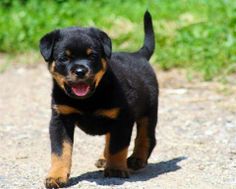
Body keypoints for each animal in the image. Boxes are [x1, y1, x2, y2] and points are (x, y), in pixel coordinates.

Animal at [39, 11, 159, 188]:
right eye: (64, 58)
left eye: (92, 56)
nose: (80, 71)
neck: (87, 100)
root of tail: (138, 55)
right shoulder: (60, 119)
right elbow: (60, 151)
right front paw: (56, 175)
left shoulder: (122, 119)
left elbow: (118, 147)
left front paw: (115, 169)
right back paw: (104, 158)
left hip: (148, 111)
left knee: (146, 137)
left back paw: (136, 159)